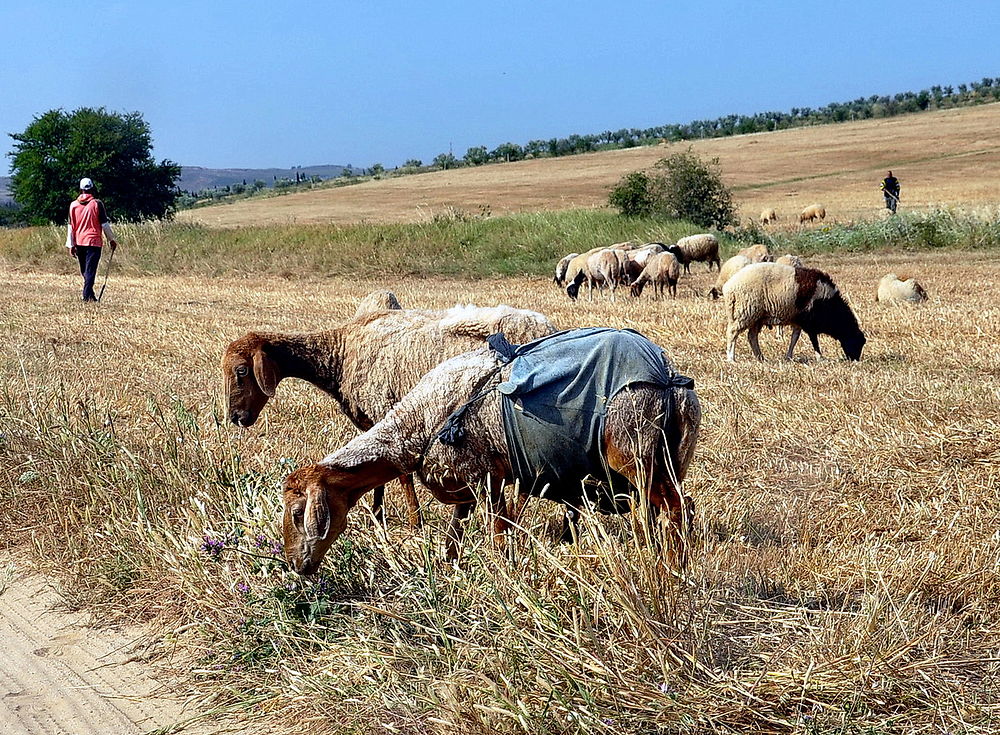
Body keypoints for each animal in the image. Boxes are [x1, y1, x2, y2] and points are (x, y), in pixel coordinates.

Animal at [223, 300, 560, 528]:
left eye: (242, 371)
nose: (236, 418)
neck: (339, 353)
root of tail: (547, 327)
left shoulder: (389, 414)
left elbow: (402, 475)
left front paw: (412, 522)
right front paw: (378, 515)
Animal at [282, 330, 704, 572]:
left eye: (300, 513)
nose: (295, 567)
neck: (418, 425)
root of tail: (671, 378)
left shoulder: (488, 474)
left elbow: (500, 533)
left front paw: (506, 572)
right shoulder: (468, 482)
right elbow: (455, 534)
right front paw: (450, 571)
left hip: (635, 451)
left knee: (677, 510)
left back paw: (673, 571)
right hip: (669, 458)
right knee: (670, 510)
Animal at [720, 264, 868, 362]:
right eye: (856, 342)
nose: (855, 360)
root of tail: (729, 286)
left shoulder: (798, 319)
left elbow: (794, 338)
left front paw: (789, 356)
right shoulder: (809, 321)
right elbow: (814, 341)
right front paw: (820, 357)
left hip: (757, 316)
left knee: (752, 337)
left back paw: (760, 358)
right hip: (744, 312)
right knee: (732, 333)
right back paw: (731, 358)